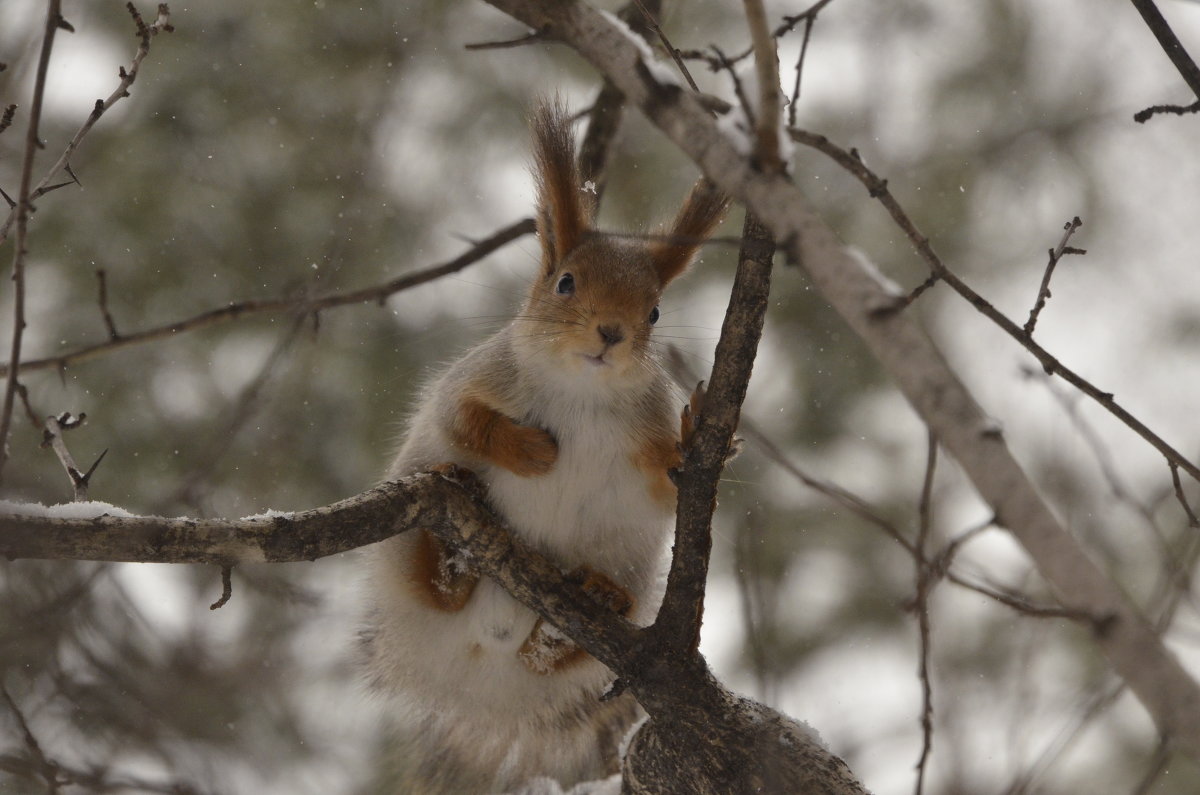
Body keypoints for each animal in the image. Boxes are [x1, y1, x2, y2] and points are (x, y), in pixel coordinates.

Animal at [360, 101, 724, 795]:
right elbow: (467, 422)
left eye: (655, 311)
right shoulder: (477, 381)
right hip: (405, 531)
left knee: (548, 655)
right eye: (564, 283)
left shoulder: (645, 429)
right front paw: (535, 455)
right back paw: (452, 561)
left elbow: (669, 484)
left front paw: (692, 439)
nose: (611, 332)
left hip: (632, 571)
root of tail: (478, 673)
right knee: (431, 580)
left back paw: (585, 610)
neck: (581, 390)